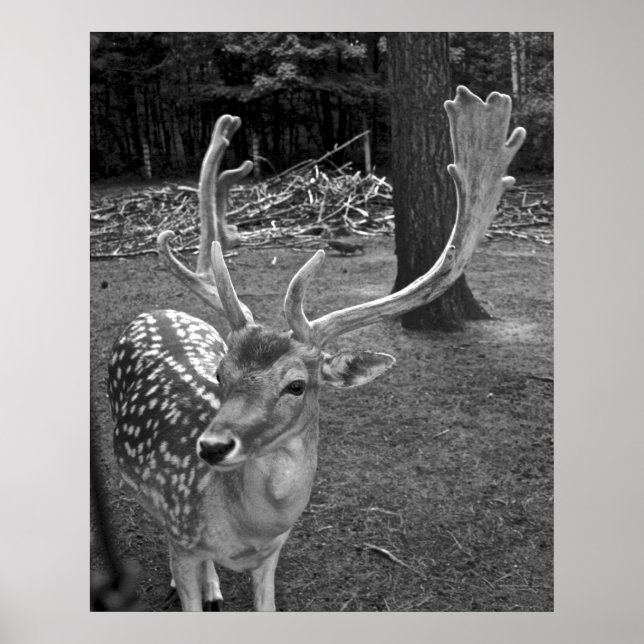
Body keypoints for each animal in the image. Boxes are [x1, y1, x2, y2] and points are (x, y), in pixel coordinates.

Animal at [107, 86, 525, 611]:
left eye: (296, 385)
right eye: (221, 374)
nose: (211, 446)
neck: (245, 531)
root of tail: (155, 309)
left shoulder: (273, 553)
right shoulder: (182, 535)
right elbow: (183, 575)